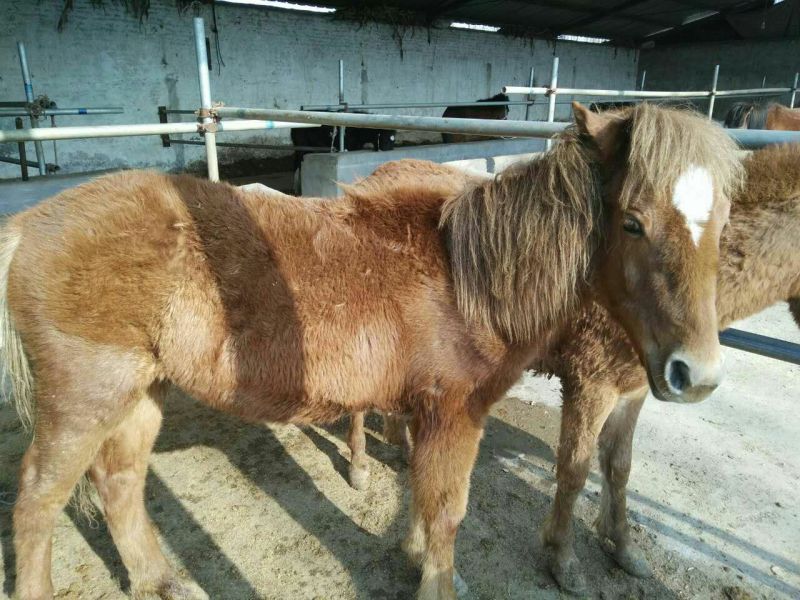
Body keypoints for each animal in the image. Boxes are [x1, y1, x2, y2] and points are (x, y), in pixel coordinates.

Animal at [1, 103, 742, 600]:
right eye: (633, 222)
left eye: (722, 223)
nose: (697, 375)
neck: (472, 278)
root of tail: (27, 225)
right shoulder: (454, 414)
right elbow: (447, 510)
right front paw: (438, 579)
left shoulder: (424, 411)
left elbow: (421, 496)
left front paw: (416, 556)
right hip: (87, 396)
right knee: (38, 503)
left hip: (140, 392)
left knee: (119, 484)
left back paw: (161, 582)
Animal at [352, 143, 799, 593]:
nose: (698, 379)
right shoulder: (592, 383)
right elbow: (574, 470)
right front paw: (563, 558)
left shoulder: (634, 390)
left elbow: (619, 468)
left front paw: (622, 547)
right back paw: (359, 467)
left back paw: (400, 444)